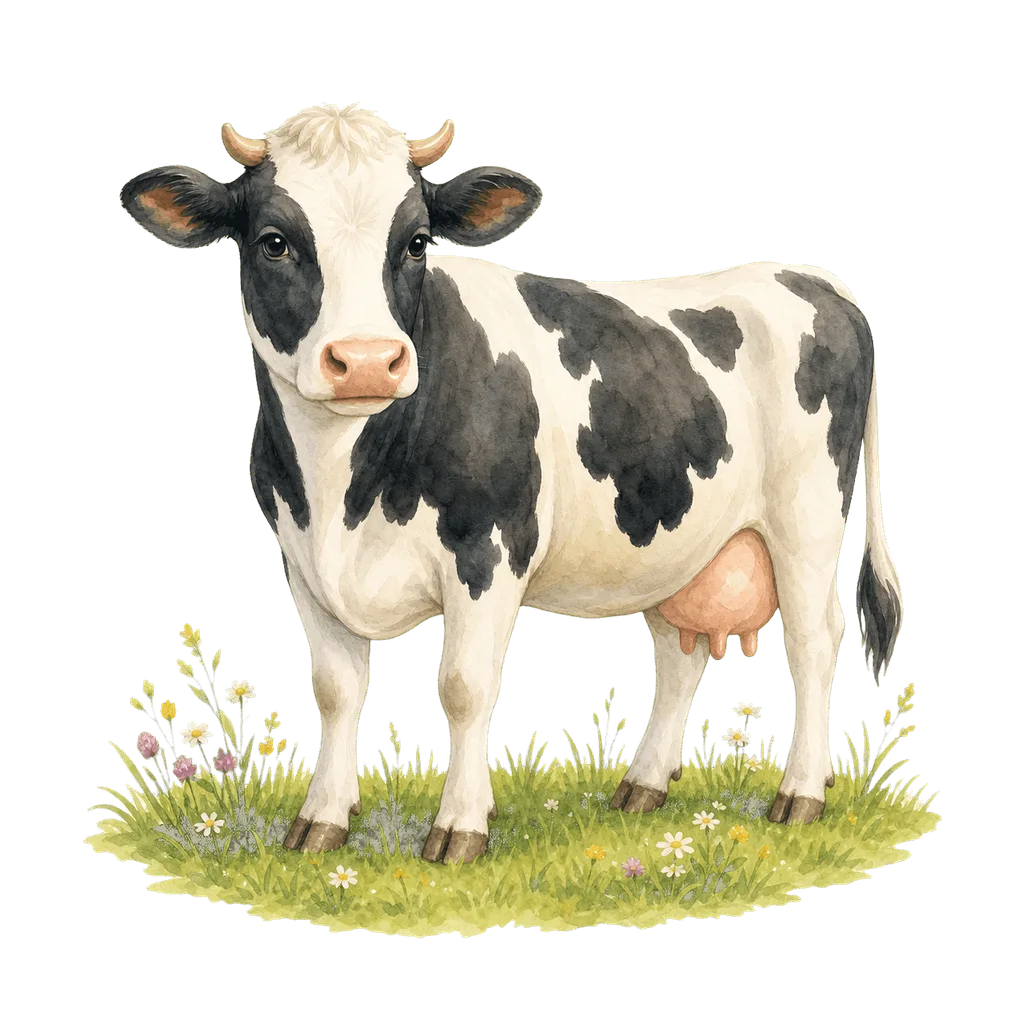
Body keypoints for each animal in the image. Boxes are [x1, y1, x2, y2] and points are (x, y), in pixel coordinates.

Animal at [119, 103, 903, 866]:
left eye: (416, 243)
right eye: (274, 242)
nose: (368, 361)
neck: (345, 487)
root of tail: (809, 278)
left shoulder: (489, 551)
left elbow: (465, 688)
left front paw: (460, 828)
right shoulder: (304, 560)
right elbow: (338, 692)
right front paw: (321, 821)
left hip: (806, 520)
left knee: (814, 640)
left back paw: (801, 795)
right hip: (680, 545)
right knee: (679, 658)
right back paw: (642, 788)